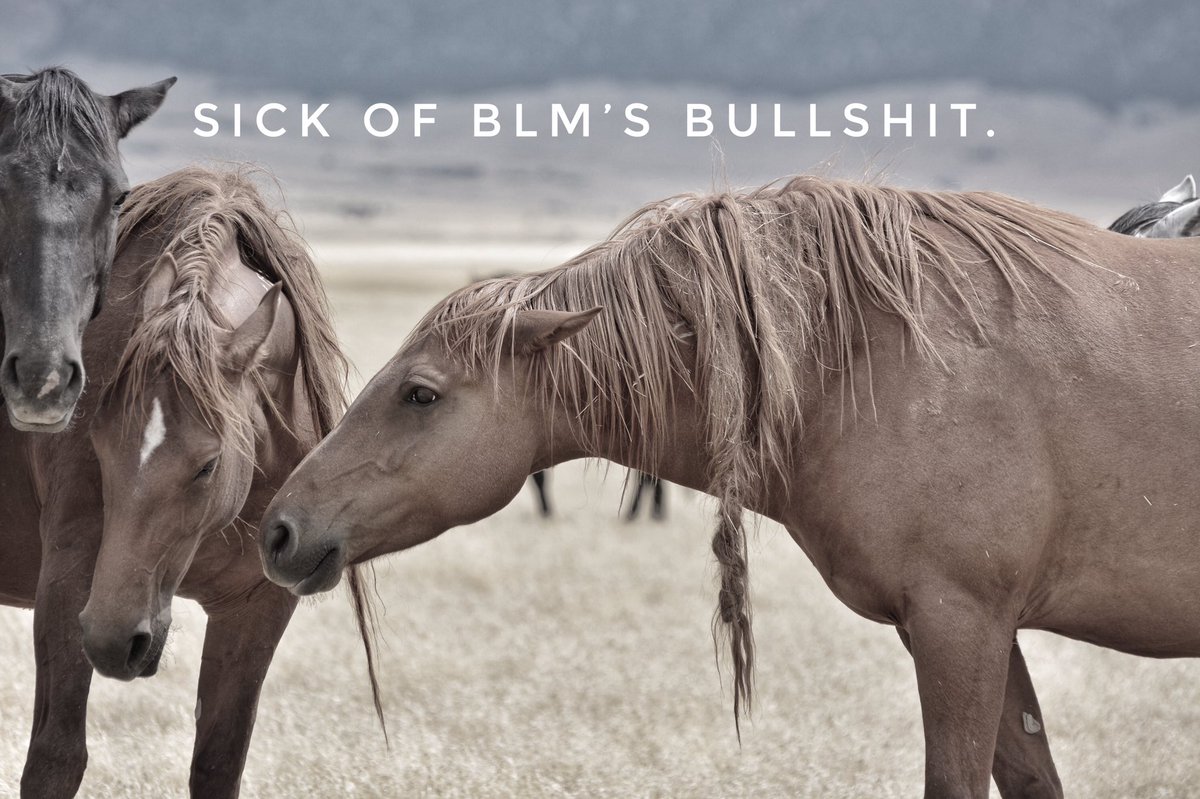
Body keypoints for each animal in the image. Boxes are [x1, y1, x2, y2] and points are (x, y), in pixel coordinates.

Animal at [0, 166, 379, 798]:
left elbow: (218, 763)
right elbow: (55, 759)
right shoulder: (68, 580)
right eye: (98, 446)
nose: (112, 640)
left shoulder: (255, 608)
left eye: (207, 465)